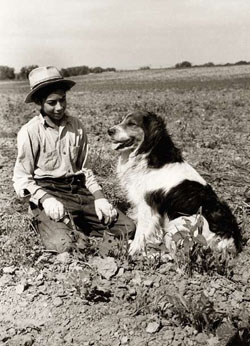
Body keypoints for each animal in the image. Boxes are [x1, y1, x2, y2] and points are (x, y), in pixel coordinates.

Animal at [108, 111, 241, 256]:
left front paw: (133, 250)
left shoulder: (148, 206)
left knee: (175, 255)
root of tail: (229, 238)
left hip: (182, 223)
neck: (149, 155)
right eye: (122, 121)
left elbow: (141, 231)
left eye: (132, 123)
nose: (109, 131)